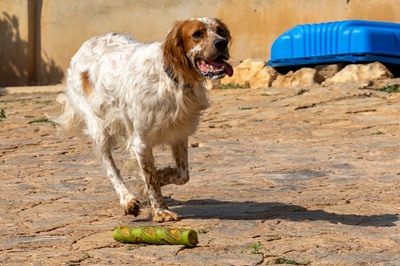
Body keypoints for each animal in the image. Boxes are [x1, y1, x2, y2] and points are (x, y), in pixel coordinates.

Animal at [54, 17, 233, 222]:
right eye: (197, 34)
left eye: (221, 31)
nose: (221, 43)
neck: (172, 79)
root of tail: (84, 47)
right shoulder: (141, 141)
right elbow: (151, 179)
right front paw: (160, 210)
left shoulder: (178, 135)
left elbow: (181, 175)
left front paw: (154, 179)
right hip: (98, 128)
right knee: (111, 168)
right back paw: (127, 200)